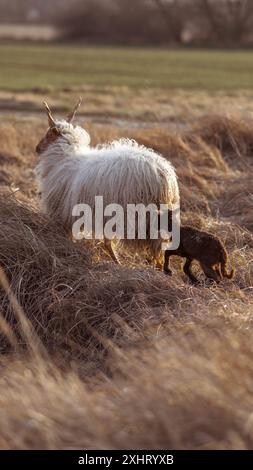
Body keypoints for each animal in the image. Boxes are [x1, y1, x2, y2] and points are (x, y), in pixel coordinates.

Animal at [35, 99, 179, 264]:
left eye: (48, 134)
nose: (37, 148)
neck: (64, 157)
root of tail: (163, 175)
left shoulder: (67, 213)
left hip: (136, 216)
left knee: (153, 248)